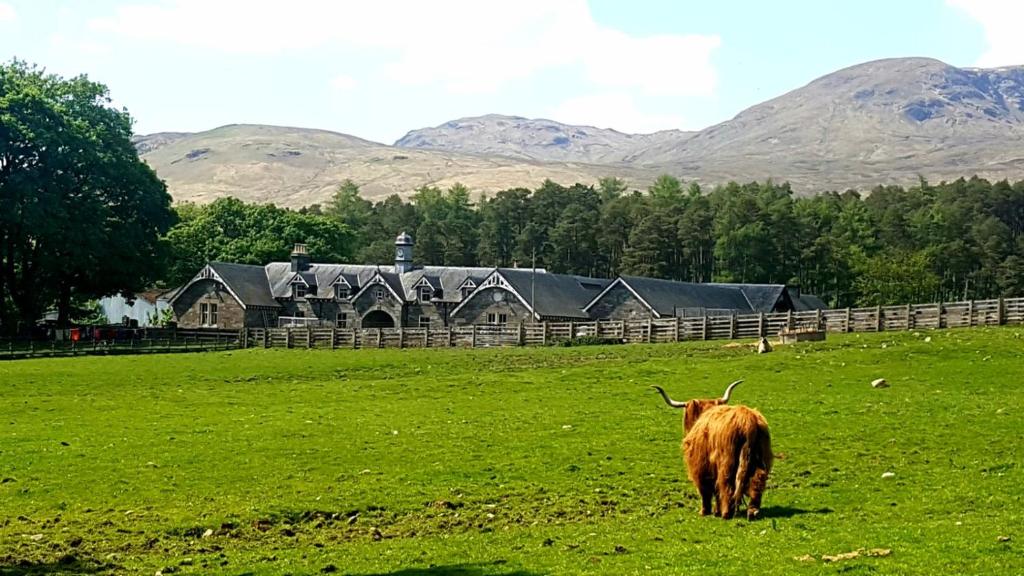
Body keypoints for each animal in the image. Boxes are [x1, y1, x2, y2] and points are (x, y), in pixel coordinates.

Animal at [651, 379, 770, 518]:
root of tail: (747, 421)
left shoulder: (700, 466)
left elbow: (705, 490)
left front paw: (705, 511)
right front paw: (715, 511)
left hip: (726, 462)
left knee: (726, 483)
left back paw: (726, 513)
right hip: (760, 457)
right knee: (757, 478)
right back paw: (753, 511)